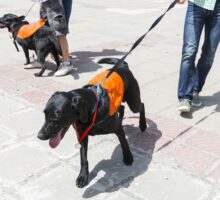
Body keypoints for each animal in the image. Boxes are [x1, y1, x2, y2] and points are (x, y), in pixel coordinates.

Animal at [37, 57, 147, 188]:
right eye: (44, 114)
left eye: (56, 117)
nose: (39, 136)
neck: (93, 108)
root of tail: (122, 66)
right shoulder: (82, 136)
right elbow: (83, 159)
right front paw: (82, 176)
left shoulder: (117, 129)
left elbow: (124, 143)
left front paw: (128, 157)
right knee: (122, 107)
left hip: (133, 101)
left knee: (141, 105)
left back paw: (143, 124)